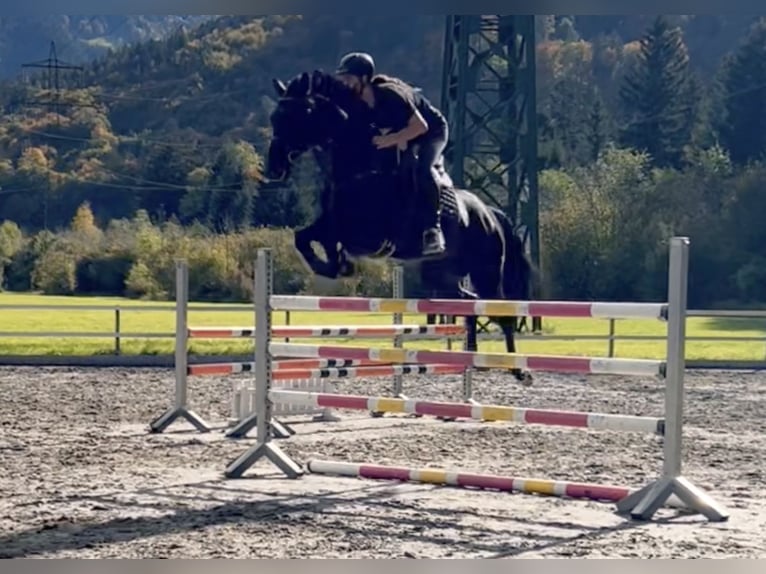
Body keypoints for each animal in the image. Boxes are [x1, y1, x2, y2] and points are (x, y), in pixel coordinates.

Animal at [268, 73, 536, 388]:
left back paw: (520, 371)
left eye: (300, 113)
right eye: (276, 117)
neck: (358, 166)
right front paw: (336, 266)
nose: (273, 168)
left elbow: (328, 242)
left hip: (487, 272)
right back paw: (470, 356)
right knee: (469, 303)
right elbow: (303, 238)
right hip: (440, 274)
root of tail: (490, 213)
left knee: (501, 312)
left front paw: (339, 264)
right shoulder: (330, 223)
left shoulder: (366, 235)